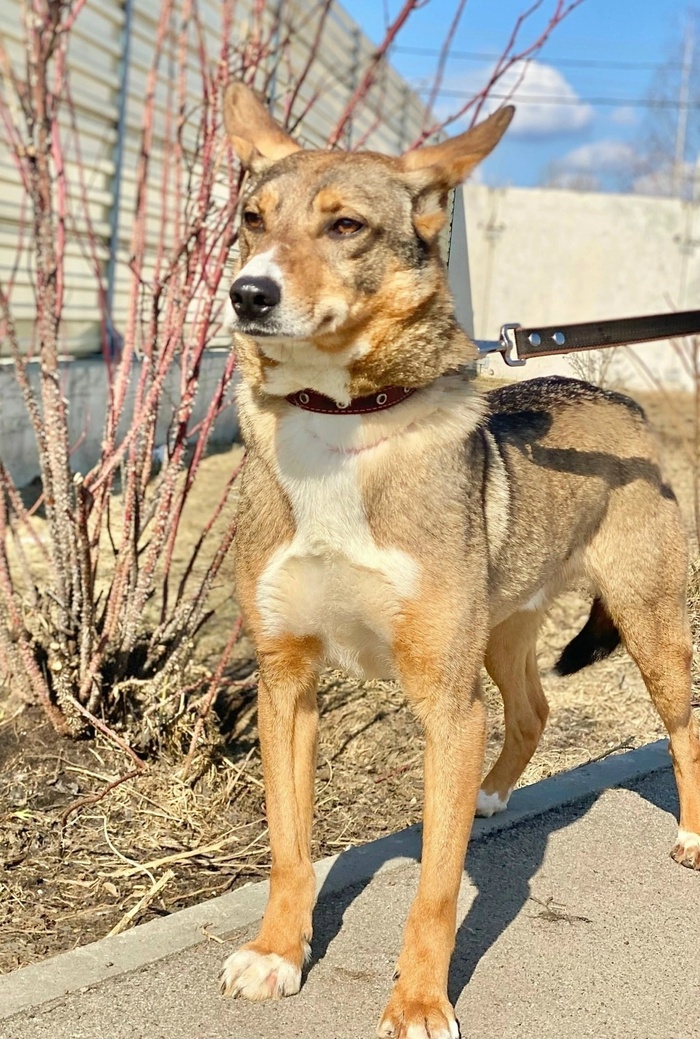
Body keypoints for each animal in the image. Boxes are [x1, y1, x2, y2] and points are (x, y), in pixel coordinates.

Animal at [218, 82, 700, 1039]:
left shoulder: (445, 700)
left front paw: (418, 999)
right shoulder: (286, 681)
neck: (340, 425)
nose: (247, 294)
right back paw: (488, 791)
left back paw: (693, 835)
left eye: (346, 226)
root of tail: (622, 397)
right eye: (252, 218)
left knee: (683, 723)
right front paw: (278, 951)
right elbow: (290, 845)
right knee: (534, 710)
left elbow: (436, 889)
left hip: (647, 624)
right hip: (504, 632)